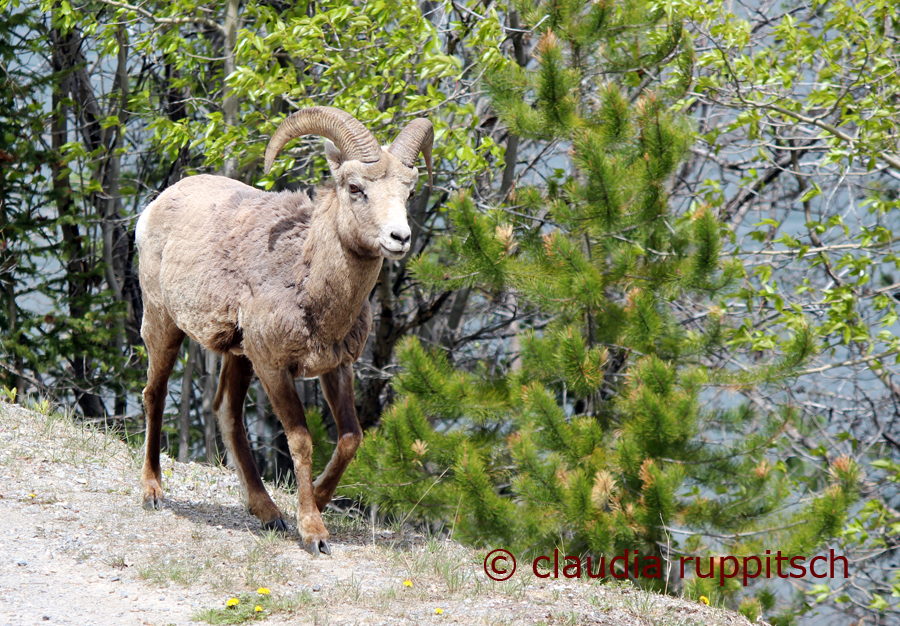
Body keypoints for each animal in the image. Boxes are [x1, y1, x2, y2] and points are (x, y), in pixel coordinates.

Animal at [134, 106, 436, 552]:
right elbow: (301, 440)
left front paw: (319, 503)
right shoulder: (274, 368)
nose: (399, 237)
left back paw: (269, 513)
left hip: (237, 356)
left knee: (226, 412)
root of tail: (155, 207)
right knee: (154, 394)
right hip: (163, 323)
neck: (308, 284)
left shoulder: (336, 367)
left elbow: (351, 438)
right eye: (355, 188)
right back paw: (153, 492)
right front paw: (314, 532)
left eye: (409, 193)